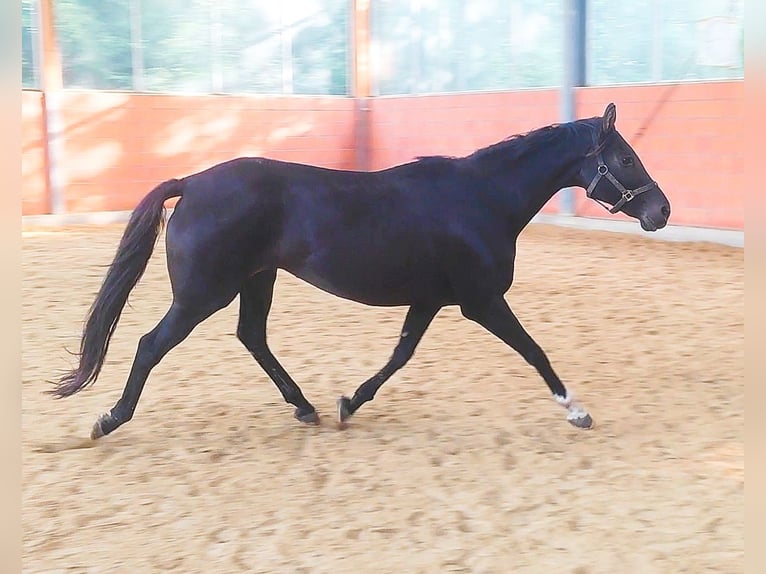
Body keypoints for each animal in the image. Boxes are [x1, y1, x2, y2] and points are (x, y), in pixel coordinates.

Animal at [50, 103, 670, 440]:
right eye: (625, 159)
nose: (661, 212)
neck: (480, 200)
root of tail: (194, 182)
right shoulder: (481, 301)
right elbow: (534, 351)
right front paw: (577, 411)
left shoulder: (431, 300)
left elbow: (400, 355)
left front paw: (350, 403)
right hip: (204, 293)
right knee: (151, 344)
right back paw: (109, 419)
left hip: (256, 279)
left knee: (252, 336)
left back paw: (306, 407)